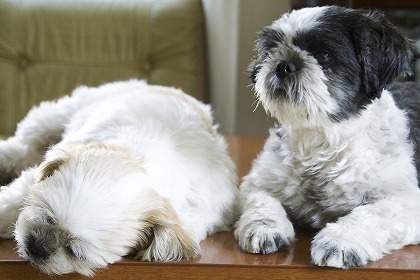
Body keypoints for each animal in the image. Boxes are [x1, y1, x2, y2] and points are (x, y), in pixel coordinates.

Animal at [0, 79, 238, 276]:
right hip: (65, 113)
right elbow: (18, 195)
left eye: (75, 252)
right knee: (23, 145)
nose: (36, 246)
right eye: (47, 216)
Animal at [235, 5, 420, 268]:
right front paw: (264, 227)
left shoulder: (407, 200)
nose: (284, 64)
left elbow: (373, 213)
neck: (323, 137)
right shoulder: (259, 181)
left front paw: (340, 241)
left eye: (324, 55)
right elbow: (262, 200)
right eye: (270, 51)